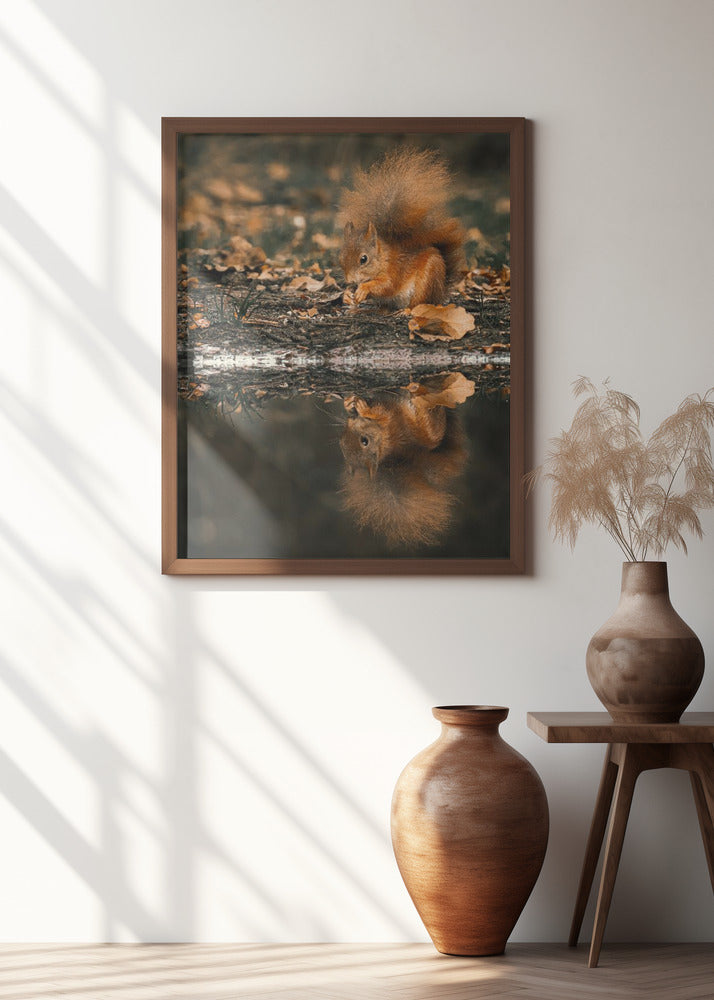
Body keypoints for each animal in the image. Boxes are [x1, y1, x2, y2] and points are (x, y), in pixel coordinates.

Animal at [338, 148, 466, 308]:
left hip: (427, 278)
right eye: (341, 258)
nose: (349, 280)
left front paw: (363, 288)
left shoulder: (395, 269)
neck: (383, 258)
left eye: (364, 259)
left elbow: (387, 285)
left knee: (418, 303)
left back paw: (406, 310)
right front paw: (346, 294)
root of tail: (440, 293)